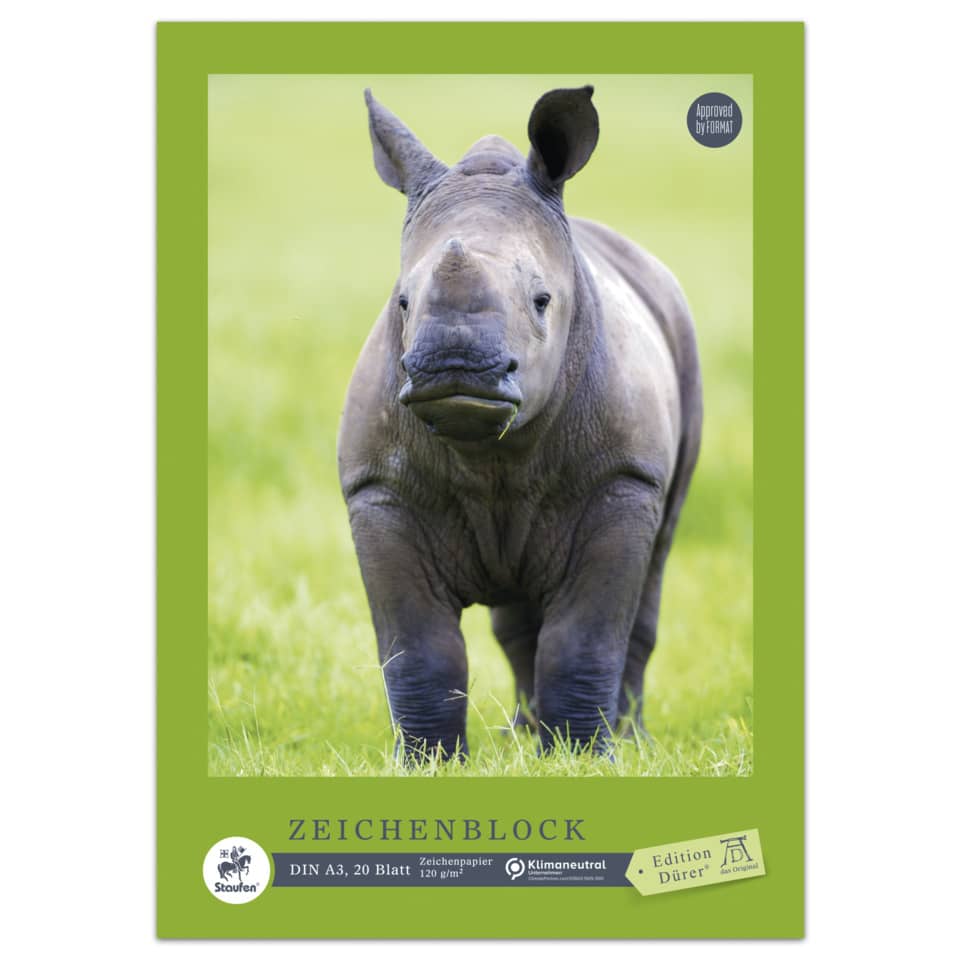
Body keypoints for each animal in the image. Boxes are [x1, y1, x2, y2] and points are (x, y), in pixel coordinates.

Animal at [338, 86, 702, 760]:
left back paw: (625, 741)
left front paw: (585, 759)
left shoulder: (622, 478)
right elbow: (417, 649)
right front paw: (427, 763)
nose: (454, 366)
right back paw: (526, 734)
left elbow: (585, 638)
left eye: (542, 301)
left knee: (653, 569)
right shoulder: (378, 487)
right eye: (402, 302)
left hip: (681, 339)